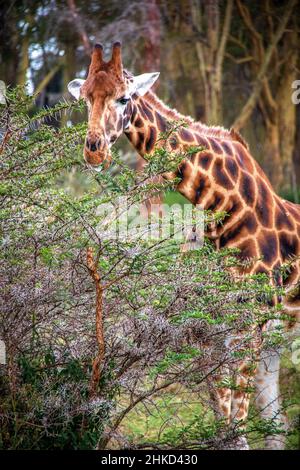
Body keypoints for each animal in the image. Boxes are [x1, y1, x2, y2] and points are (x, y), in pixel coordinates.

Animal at [68, 43, 300, 448]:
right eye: (83, 97)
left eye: (124, 97)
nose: (94, 150)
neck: (224, 209)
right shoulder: (211, 335)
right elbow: (227, 427)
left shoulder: (245, 330)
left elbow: (236, 431)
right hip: (273, 342)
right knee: (278, 426)